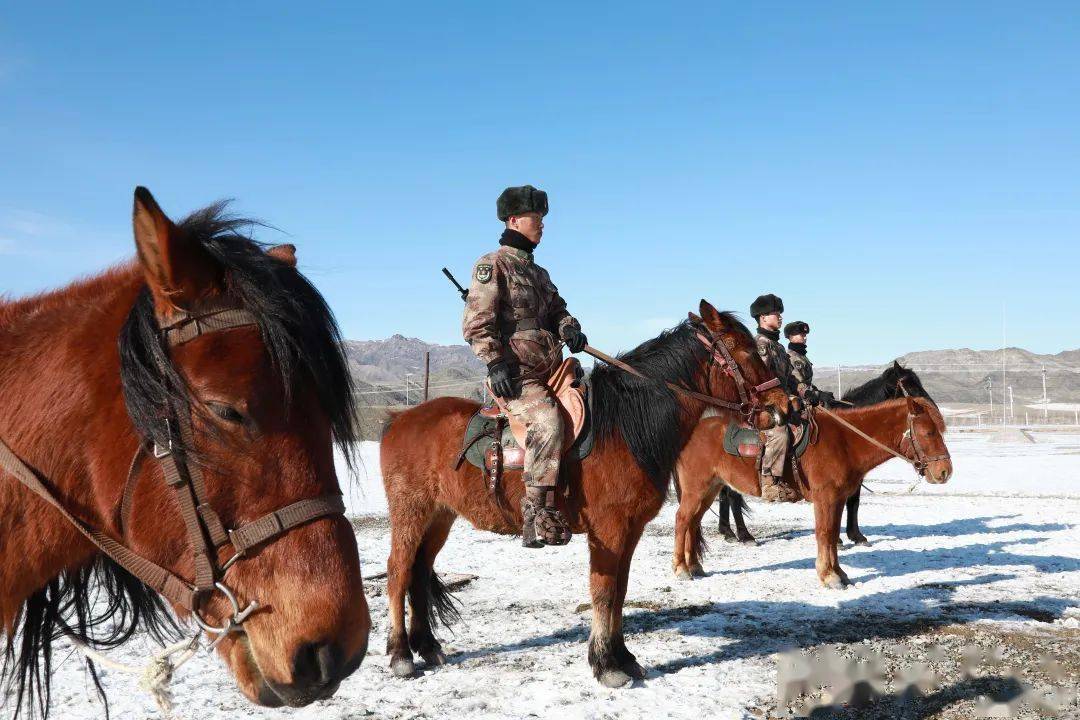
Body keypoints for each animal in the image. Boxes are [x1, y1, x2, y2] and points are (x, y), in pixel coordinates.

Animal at [378, 302, 786, 690]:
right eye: (747, 351)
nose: (785, 406)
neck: (625, 426)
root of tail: (399, 419)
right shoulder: (608, 530)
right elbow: (603, 592)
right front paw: (605, 665)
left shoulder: (631, 530)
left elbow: (620, 591)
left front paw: (623, 658)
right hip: (410, 513)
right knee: (399, 572)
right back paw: (400, 655)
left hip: (439, 517)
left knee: (419, 573)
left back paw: (428, 647)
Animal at [673, 397, 954, 587]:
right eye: (928, 432)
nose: (944, 472)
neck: (844, 442)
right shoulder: (825, 499)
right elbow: (825, 534)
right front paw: (829, 576)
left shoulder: (837, 500)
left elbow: (832, 535)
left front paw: (839, 574)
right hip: (696, 490)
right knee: (682, 520)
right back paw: (681, 569)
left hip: (709, 490)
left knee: (693, 522)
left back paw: (695, 566)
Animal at [712, 362, 933, 544]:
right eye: (911, 386)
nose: (931, 408)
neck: (849, 427)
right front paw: (841, 539)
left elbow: (854, 501)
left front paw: (856, 536)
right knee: (732, 497)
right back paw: (744, 535)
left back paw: (727, 532)